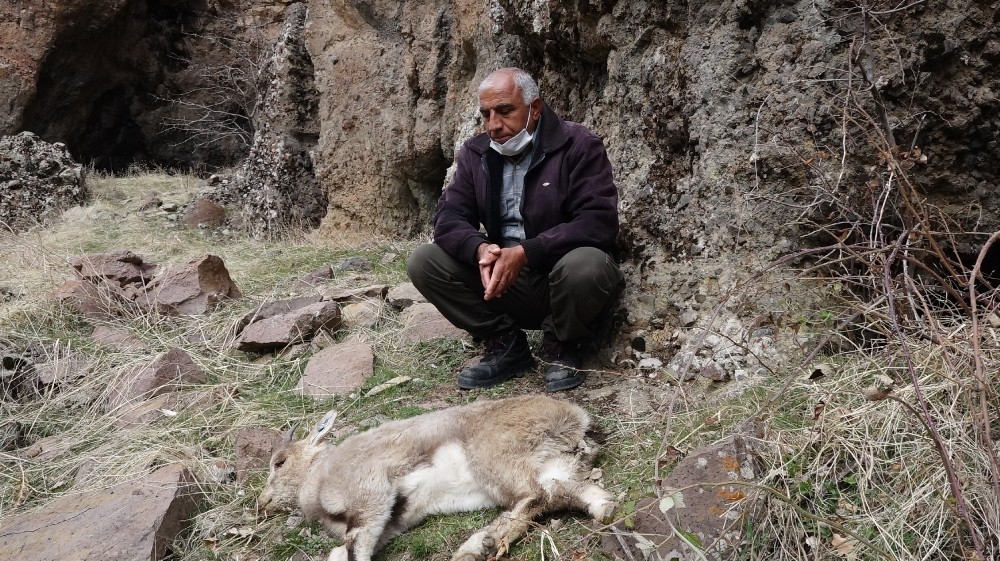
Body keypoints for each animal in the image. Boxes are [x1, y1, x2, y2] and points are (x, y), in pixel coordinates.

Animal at [258, 394, 616, 560]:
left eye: (279, 462)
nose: (263, 502)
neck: (318, 474)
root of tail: (577, 423)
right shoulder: (389, 522)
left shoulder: (368, 496)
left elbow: (355, 548)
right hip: (556, 468)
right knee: (567, 494)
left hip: (494, 459)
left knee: (534, 497)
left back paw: (474, 548)